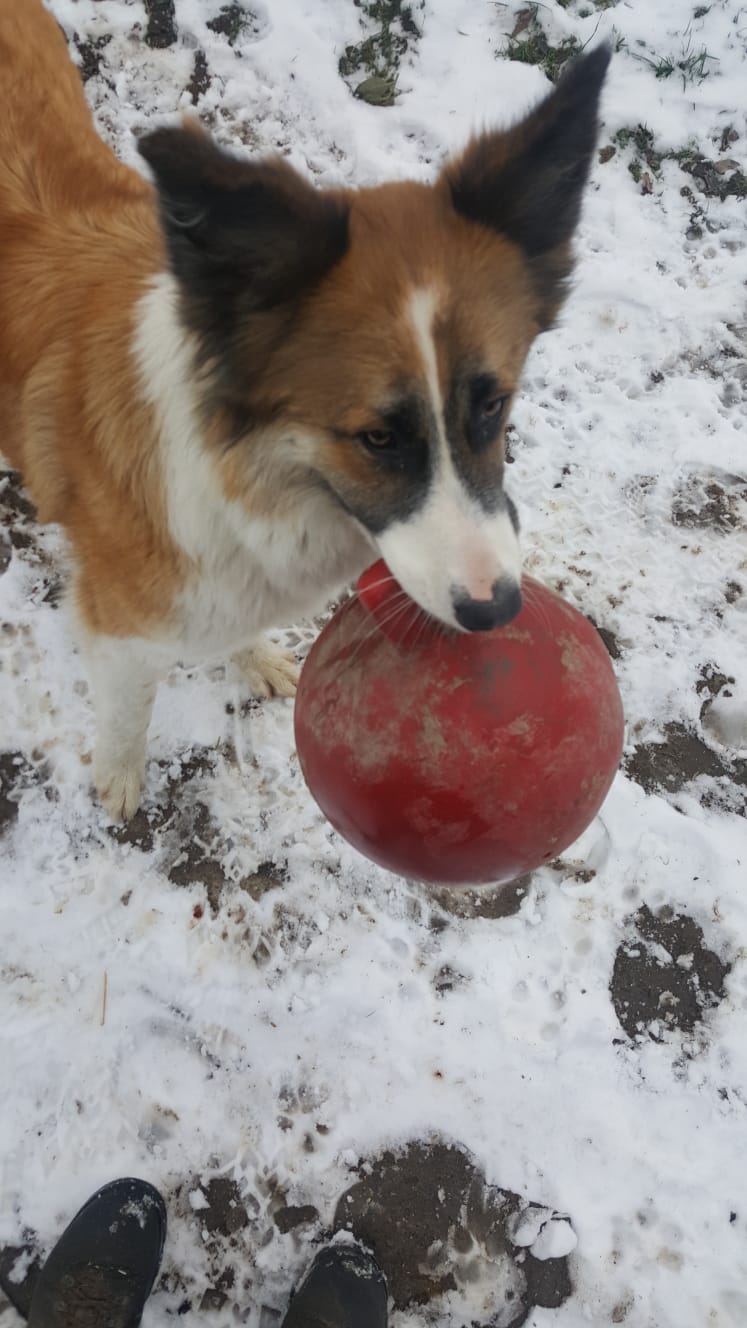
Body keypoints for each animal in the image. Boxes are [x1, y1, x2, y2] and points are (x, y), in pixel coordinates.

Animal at [0, 0, 609, 820]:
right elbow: (129, 711)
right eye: (376, 436)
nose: (497, 610)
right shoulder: (118, 625)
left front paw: (249, 657)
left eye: (494, 403)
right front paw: (120, 778)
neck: (246, 471)